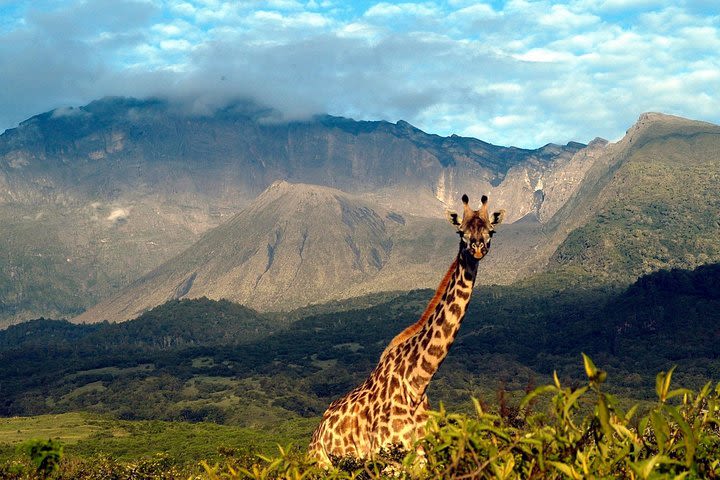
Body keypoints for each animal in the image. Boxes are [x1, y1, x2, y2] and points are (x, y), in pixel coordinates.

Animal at [310, 193, 506, 466]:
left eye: (491, 230)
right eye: (461, 232)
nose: (477, 248)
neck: (418, 382)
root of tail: (318, 429)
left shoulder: (422, 458)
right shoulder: (388, 458)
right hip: (321, 463)